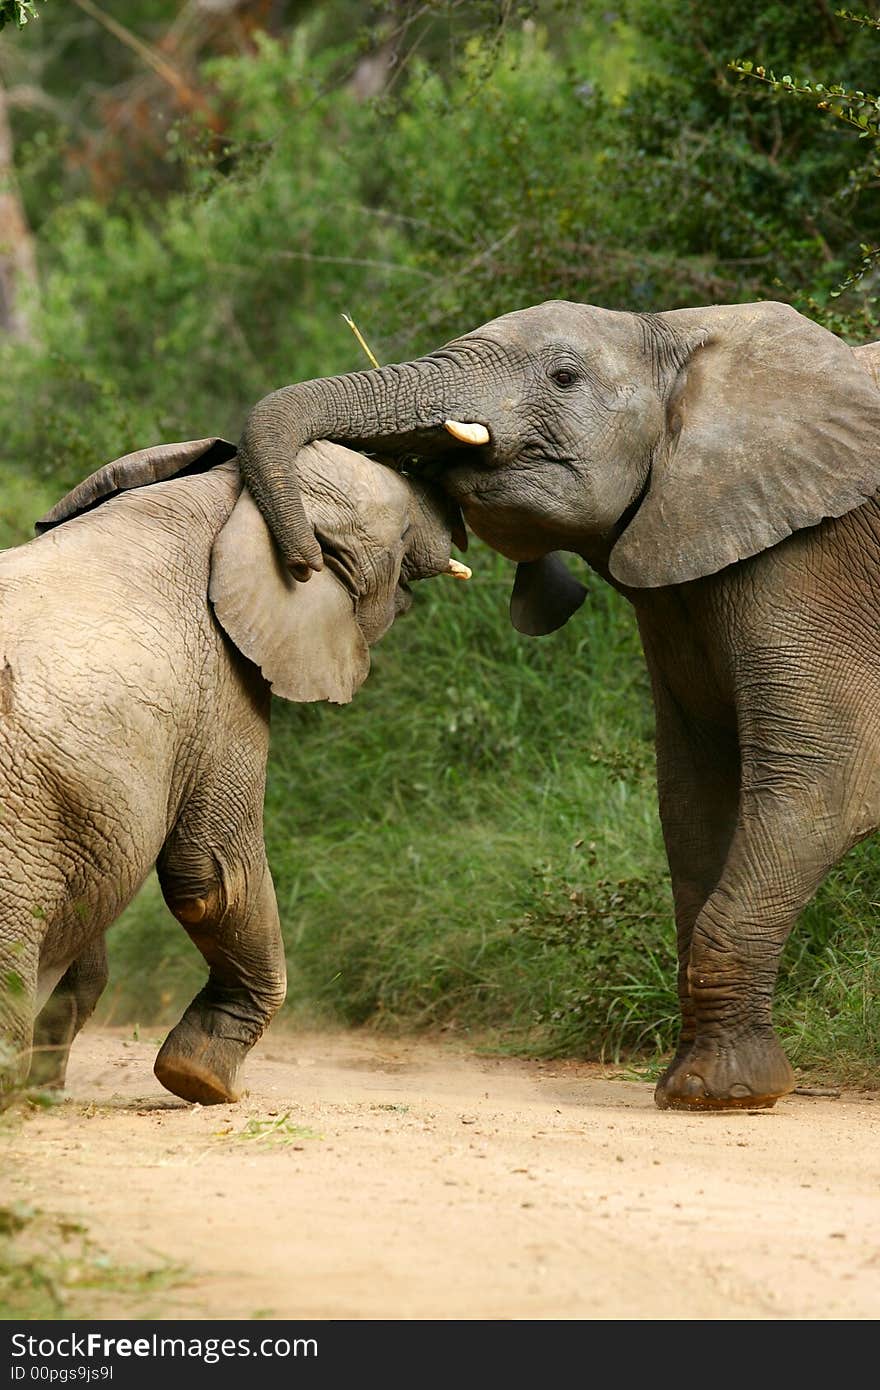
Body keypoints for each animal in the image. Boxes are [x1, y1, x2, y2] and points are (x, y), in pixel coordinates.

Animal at [0, 442, 467, 1106]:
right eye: (403, 532)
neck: (230, 497)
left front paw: (48, 1094)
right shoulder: (222, 687)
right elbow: (216, 874)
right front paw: (203, 1081)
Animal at [233, 298, 880, 1112]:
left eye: (564, 376)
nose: (304, 563)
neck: (681, 334)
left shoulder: (809, 559)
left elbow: (819, 786)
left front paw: (718, 1095)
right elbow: (696, 797)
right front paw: (692, 1085)